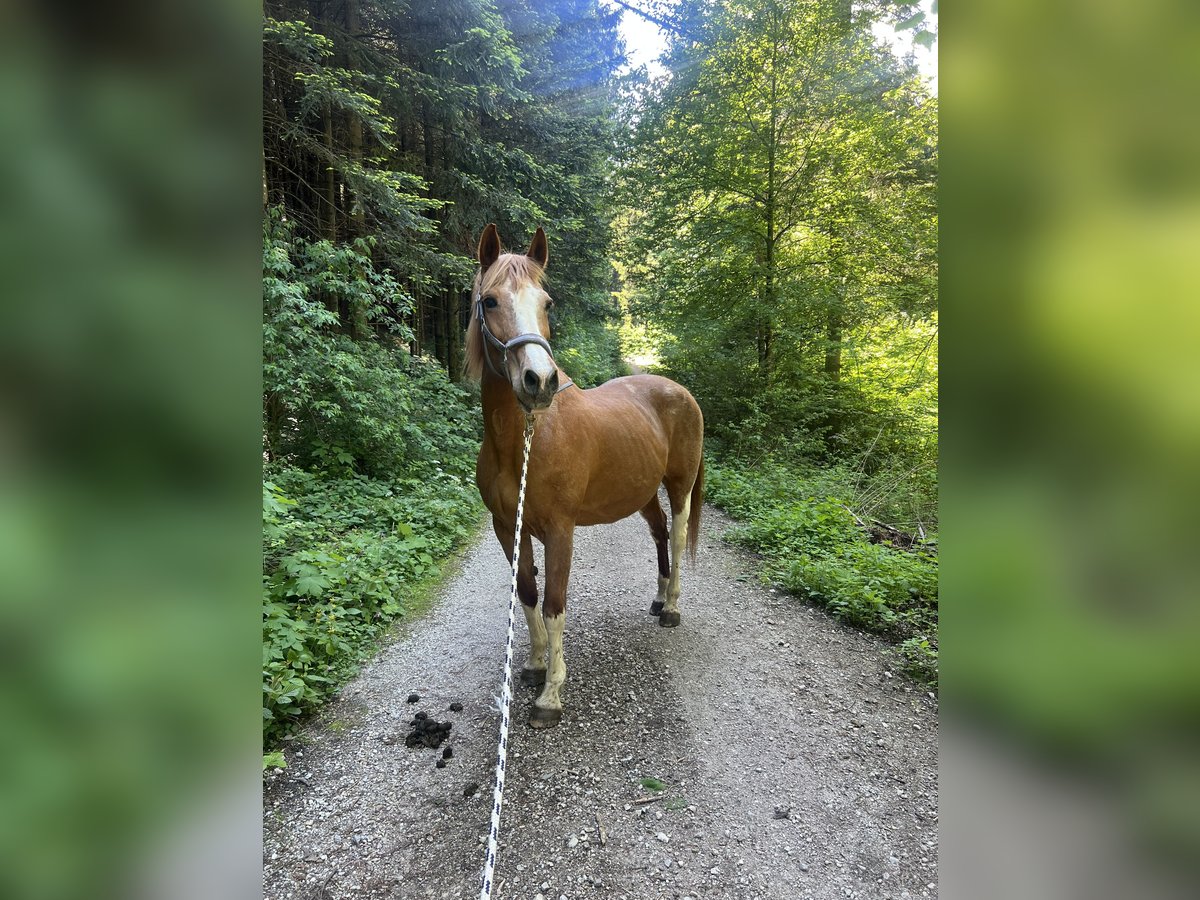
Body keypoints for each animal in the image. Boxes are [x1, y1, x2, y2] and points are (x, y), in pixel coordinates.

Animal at [466, 223, 705, 729]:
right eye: (490, 301)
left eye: (547, 302)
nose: (539, 381)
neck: (526, 441)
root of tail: (679, 390)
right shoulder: (507, 528)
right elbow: (528, 594)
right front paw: (535, 665)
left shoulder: (560, 530)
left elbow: (555, 604)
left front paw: (551, 695)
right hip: (641, 493)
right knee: (659, 534)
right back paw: (658, 599)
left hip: (679, 486)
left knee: (676, 537)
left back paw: (672, 608)